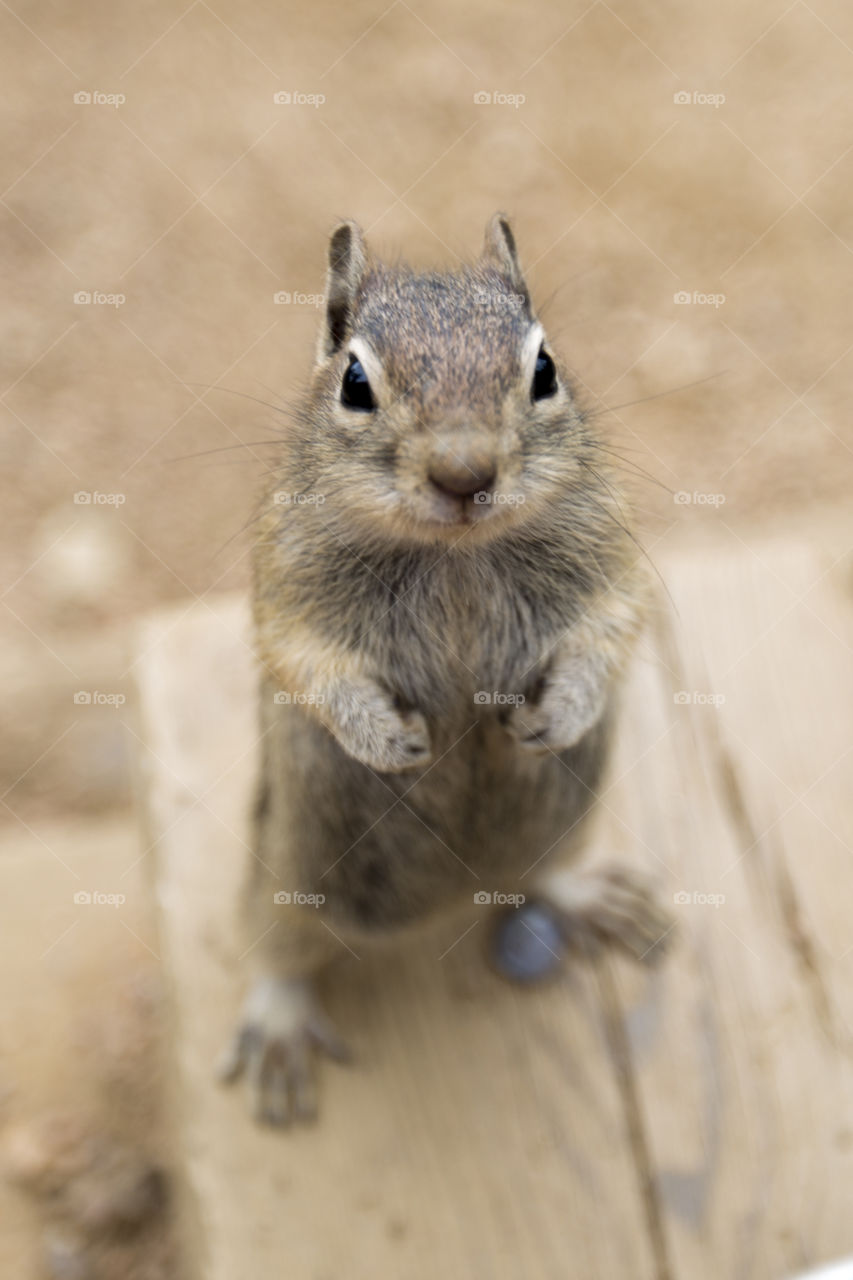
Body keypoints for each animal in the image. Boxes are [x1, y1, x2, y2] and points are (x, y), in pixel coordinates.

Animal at [218, 214, 673, 1126]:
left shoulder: (608, 560)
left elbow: (606, 628)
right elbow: (308, 660)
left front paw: (555, 712)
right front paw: (388, 740)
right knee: (277, 950)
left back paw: (589, 895)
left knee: (544, 875)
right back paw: (279, 1026)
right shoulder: (290, 591)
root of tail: (464, 894)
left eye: (545, 369)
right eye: (355, 382)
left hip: (563, 822)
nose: (465, 475)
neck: (455, 552)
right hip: (286, 872)